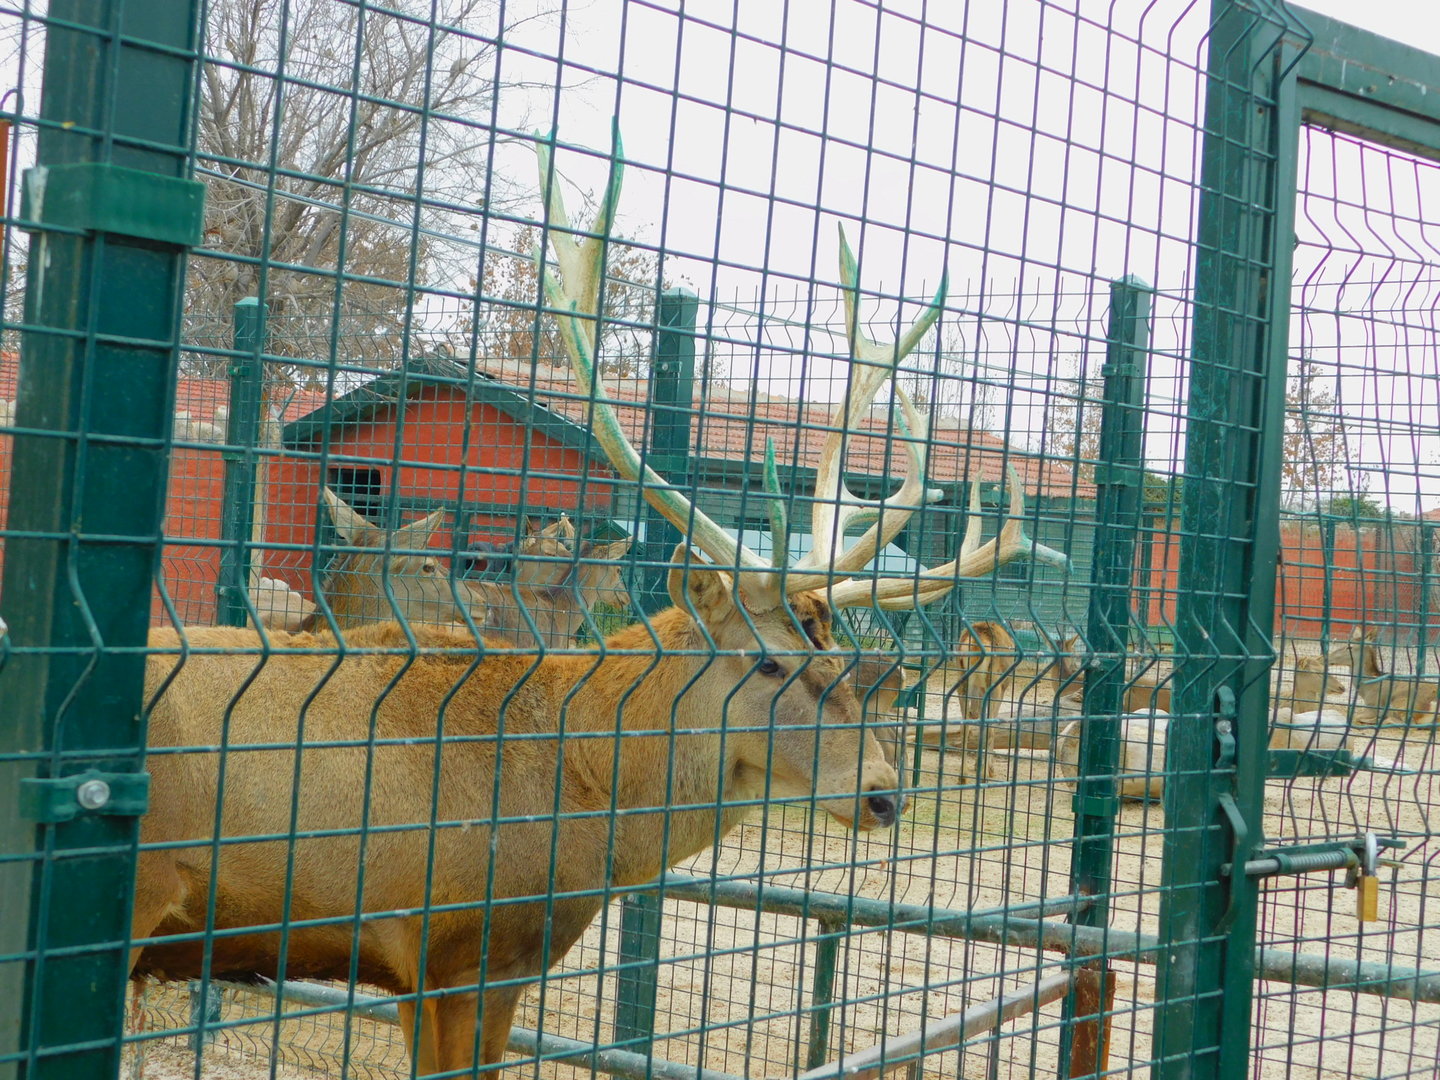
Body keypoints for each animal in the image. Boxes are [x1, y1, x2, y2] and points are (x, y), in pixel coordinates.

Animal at [128, 128, 1068, 1080]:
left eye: (842, 661)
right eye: (769, 659)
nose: (882, 794)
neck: (580, 786)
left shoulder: (418, 973)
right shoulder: (463, 949)